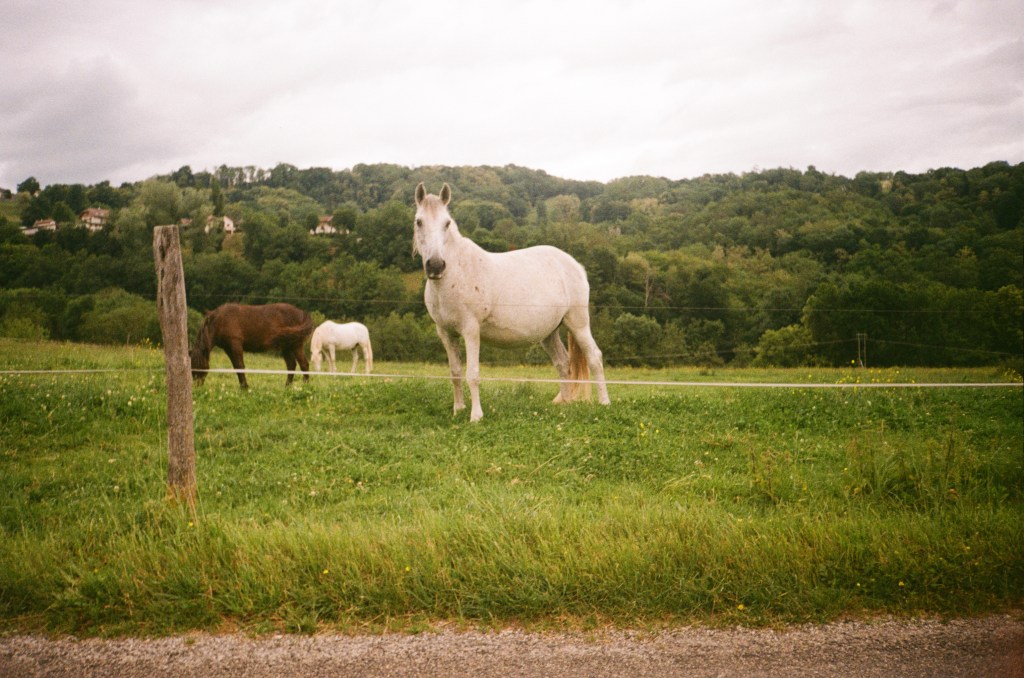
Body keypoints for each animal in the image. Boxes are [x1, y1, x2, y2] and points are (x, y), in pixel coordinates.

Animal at [413, 182, 610, 421]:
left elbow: (473, 374)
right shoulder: (446, 333)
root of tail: (575, 265)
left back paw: (604, 402)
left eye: (447, 223)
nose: (435, 265)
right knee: (563, 363)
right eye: (419, 221)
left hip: (578, 323)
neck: (456, 273)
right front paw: (458, 410)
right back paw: (564, 404)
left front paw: (476, 416)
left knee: (594, 357)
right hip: (549, 332)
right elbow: (455, 372)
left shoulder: (471, 330)